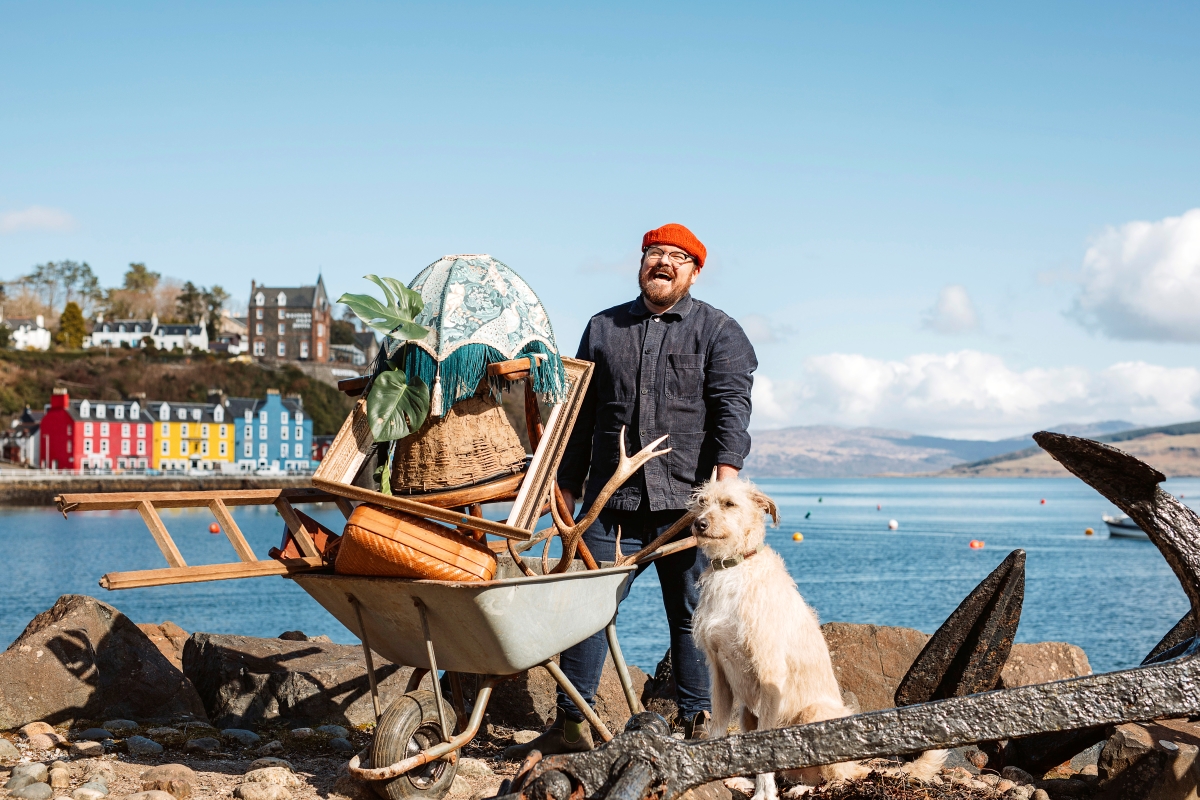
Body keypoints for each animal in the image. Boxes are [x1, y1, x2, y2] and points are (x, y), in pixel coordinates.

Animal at [691, 479, 940, 796]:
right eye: (702, 502)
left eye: (729, 504)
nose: (699, 524)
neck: (735, 567)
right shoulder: (719, 671)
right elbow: (718, 729)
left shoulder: (770, 671)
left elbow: (764, 744)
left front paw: (763, 795)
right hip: (748, 713)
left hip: (813, 715)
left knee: (836, 778)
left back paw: (801, 789)